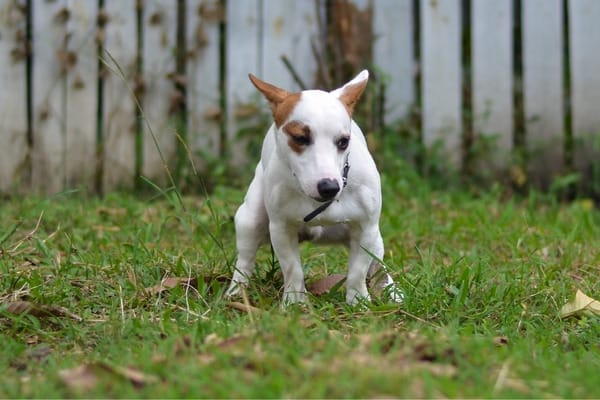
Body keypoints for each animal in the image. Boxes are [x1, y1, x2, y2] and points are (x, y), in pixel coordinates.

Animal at [227, 70, 400, 304]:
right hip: (250, 218)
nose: (329, 187)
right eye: (300, 138)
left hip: (376, 239)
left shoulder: (366, 229)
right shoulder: (281, 229)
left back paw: (391, 290)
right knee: (245, 259)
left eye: (343, 141)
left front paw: (357, 302)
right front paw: (295, 302)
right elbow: (293, 269)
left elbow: (358, 272)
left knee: (377, 265)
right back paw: (236, 291)